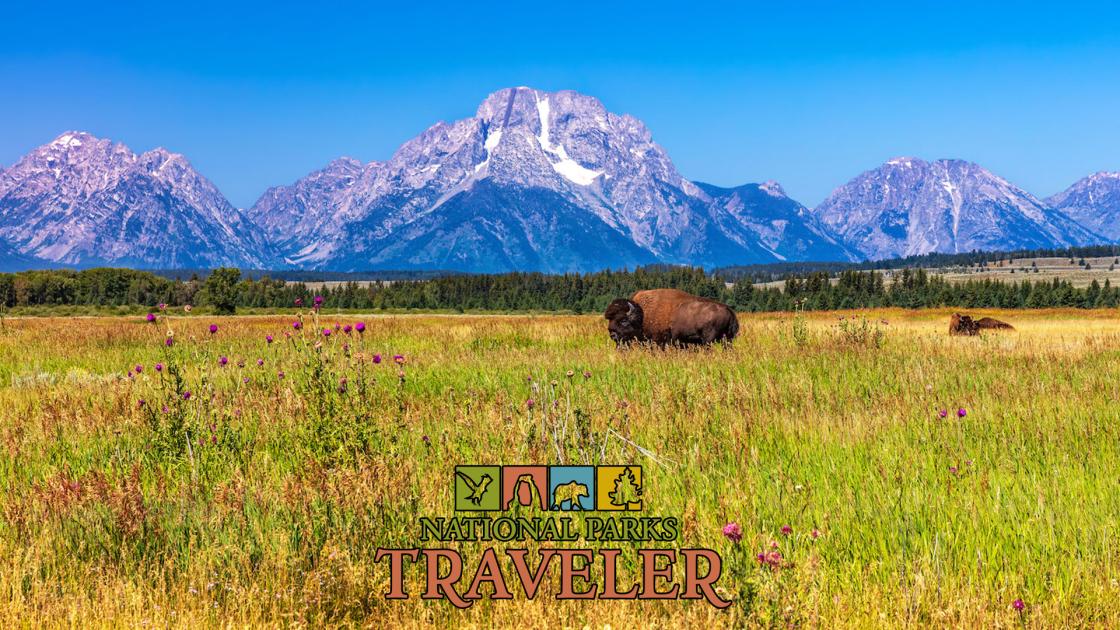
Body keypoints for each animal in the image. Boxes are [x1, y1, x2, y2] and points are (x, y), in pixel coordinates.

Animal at [604, 289, 734, 345]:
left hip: (709, 340)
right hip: (728, 339)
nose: (612, 334)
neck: (643, 315)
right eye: (610, 319)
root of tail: (728, 309)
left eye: (624, 320)